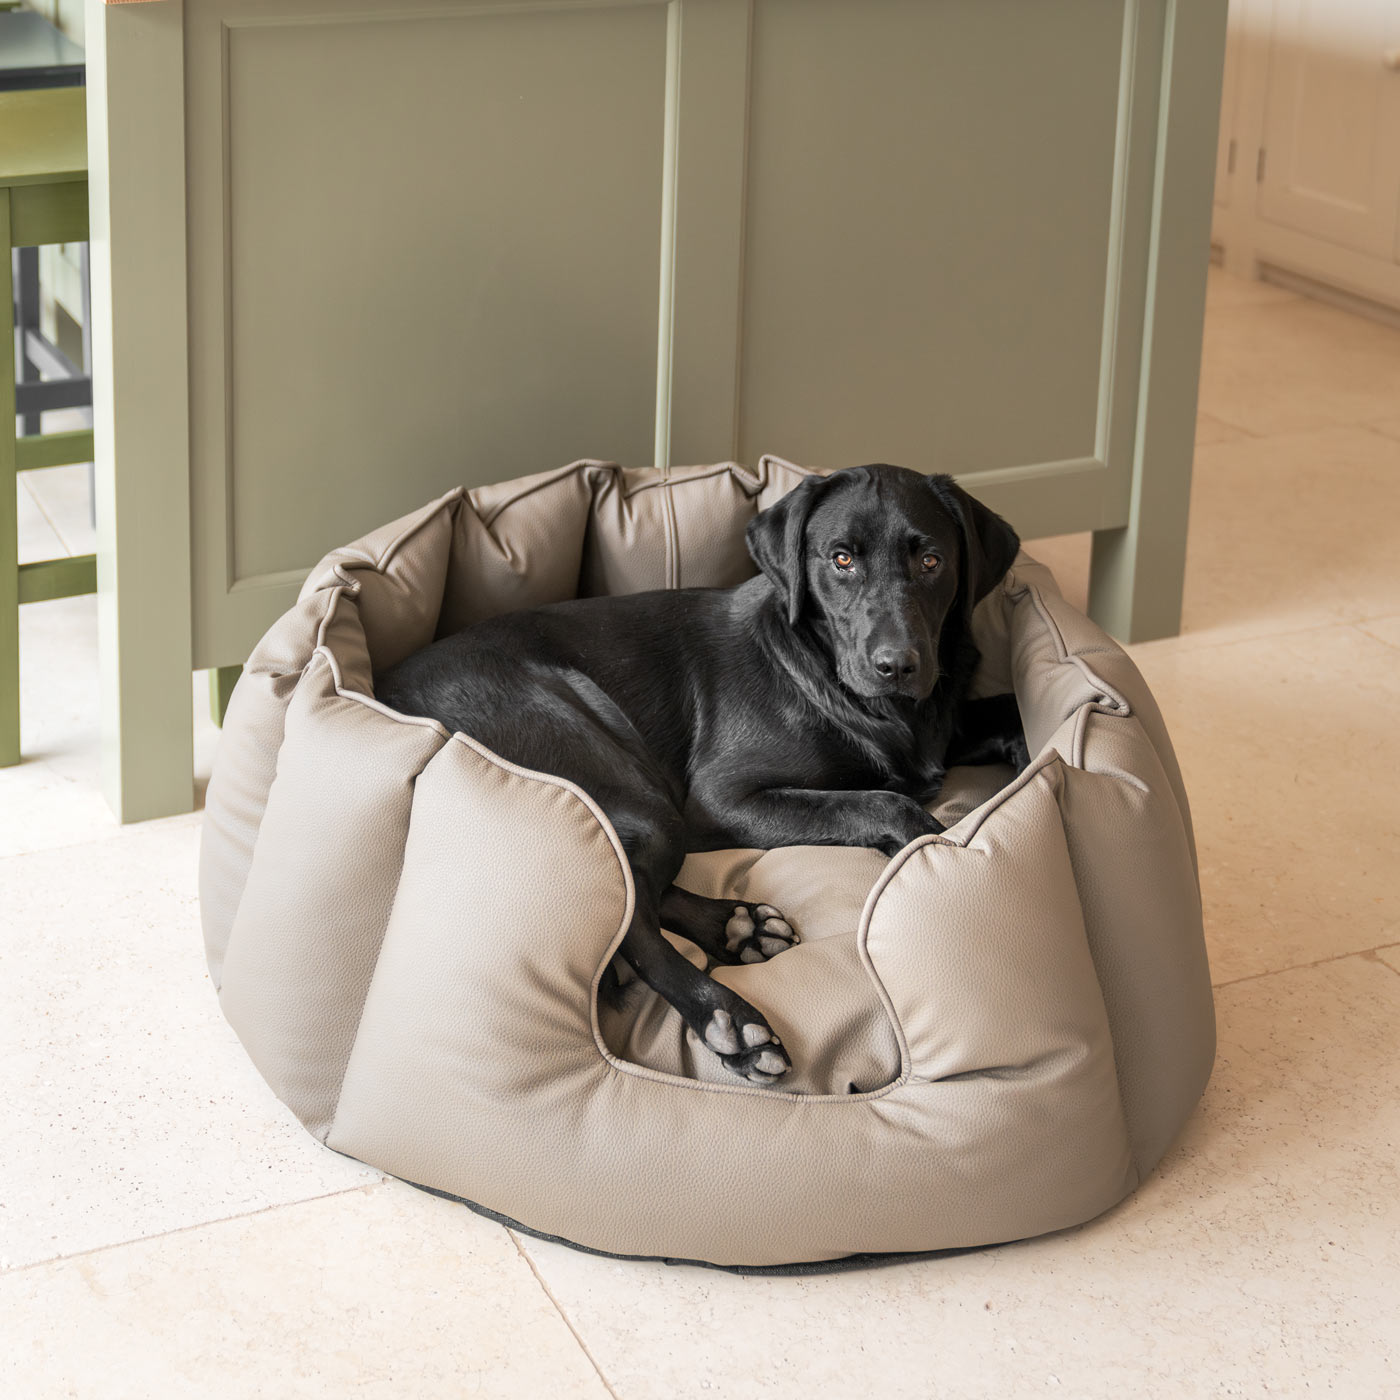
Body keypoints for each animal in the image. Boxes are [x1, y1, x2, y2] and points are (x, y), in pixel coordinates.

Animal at [378, 464, 1024, 1086]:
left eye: (931, 560)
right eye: (841, 559)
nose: (896, 665)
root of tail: (389, 689)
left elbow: (1005, 709)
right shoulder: (721, 798)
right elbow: (880, 803)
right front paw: (937, 852)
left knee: (632, 883)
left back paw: (740, 927)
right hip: (633, 783)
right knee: (630, 909)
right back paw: (728, 1019)